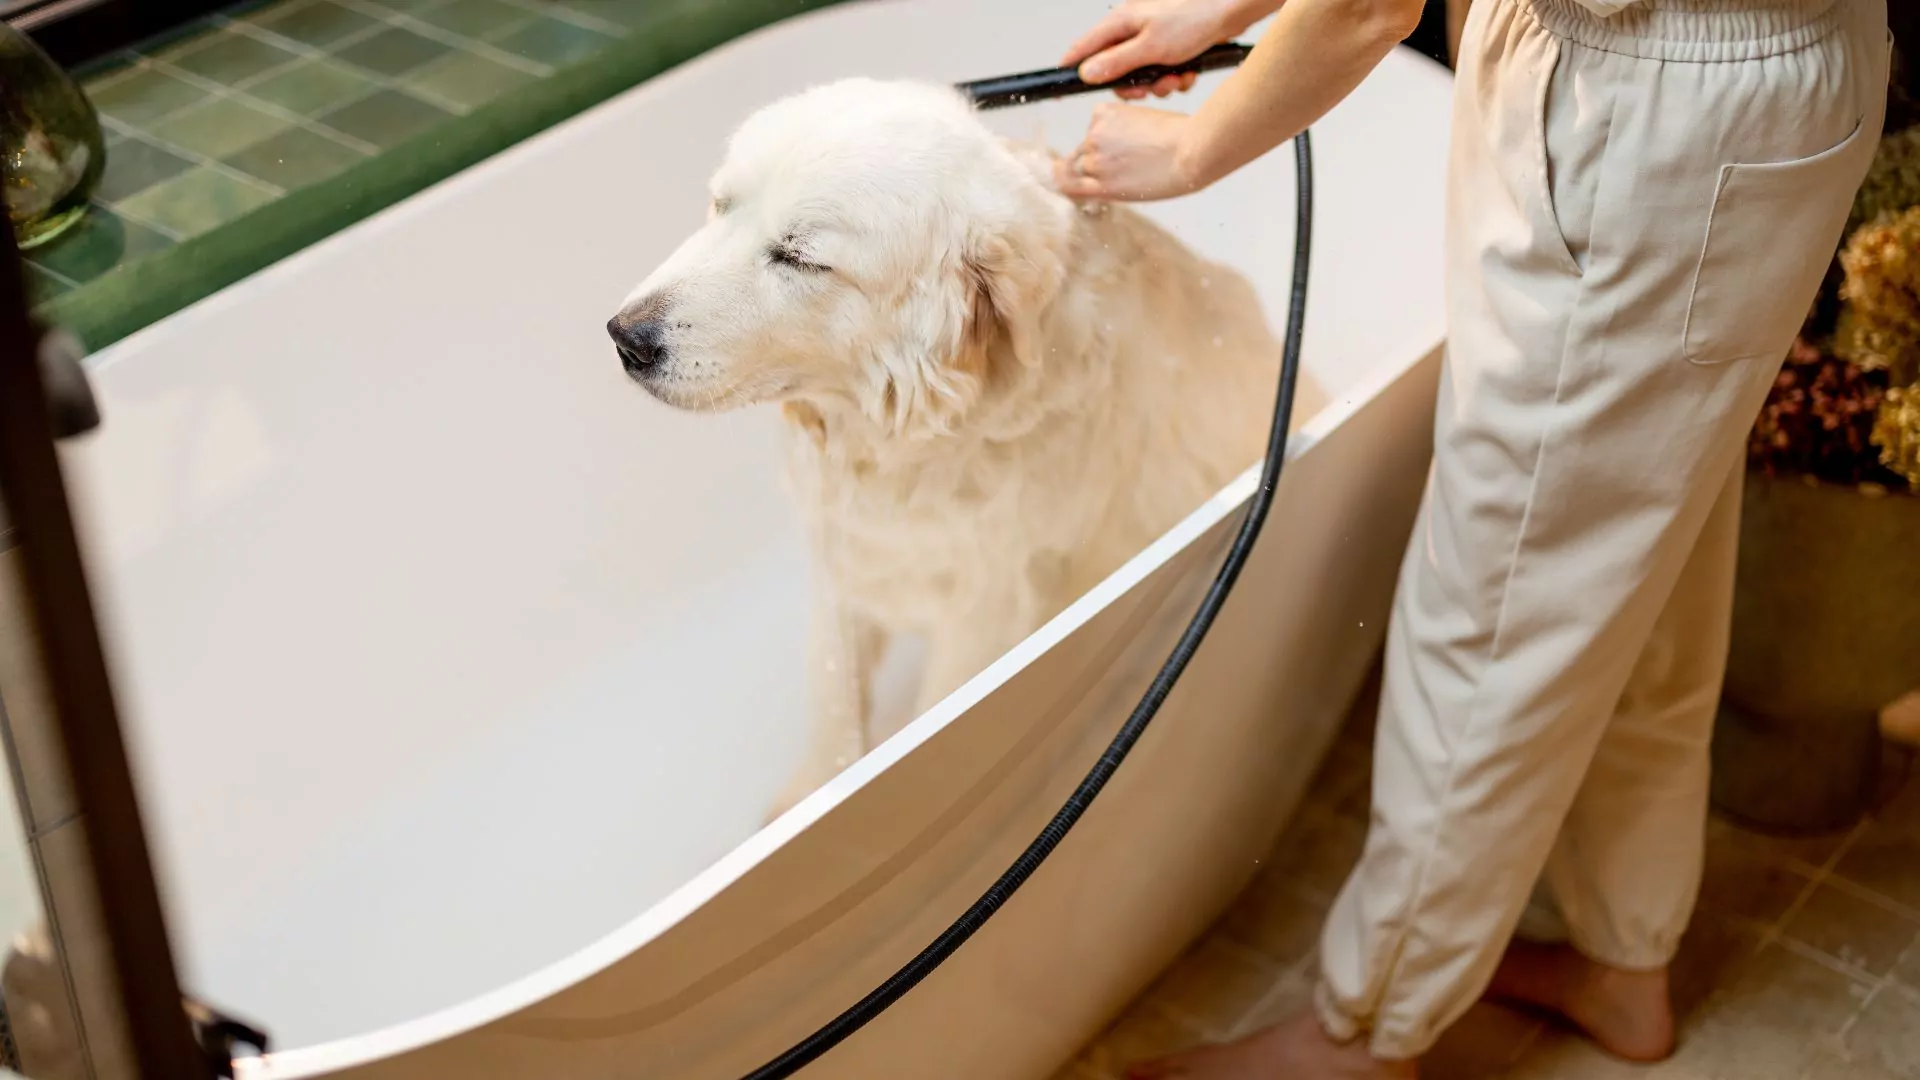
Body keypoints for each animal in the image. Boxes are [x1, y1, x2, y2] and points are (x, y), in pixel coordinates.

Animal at [614, 77, 1320, 814]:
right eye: (721, 205)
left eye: (799, 256)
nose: (626, 337)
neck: (911, 442)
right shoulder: (845, 560)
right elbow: (836, 702)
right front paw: (812, 795)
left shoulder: (982, 617)